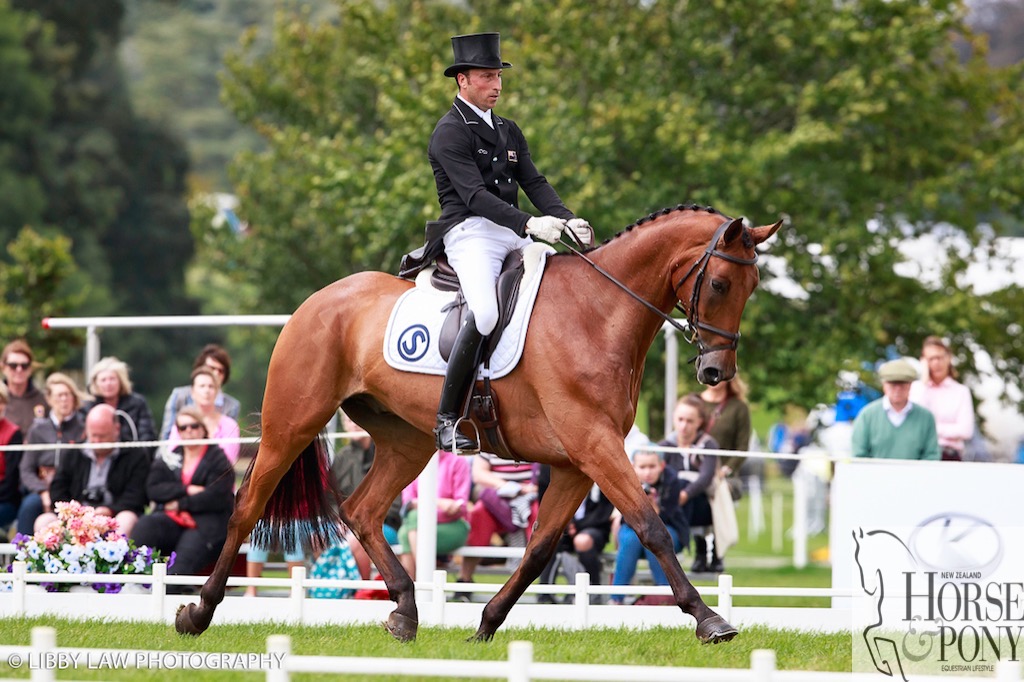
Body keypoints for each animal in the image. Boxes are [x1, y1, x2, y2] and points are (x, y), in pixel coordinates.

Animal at [176, 201, 782, 643]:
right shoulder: (595, 445)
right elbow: (651, 526)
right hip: (293, 422)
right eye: (721, 285)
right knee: (247, 506)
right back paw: (198, 613)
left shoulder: (576, 461)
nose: (715, 372)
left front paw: (486, 625)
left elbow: (539, 549)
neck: (599, 312)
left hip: (406, 441)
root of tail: (317, 301)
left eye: (752, 288)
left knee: (362, 510)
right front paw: (709, 619)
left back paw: (405, 612)